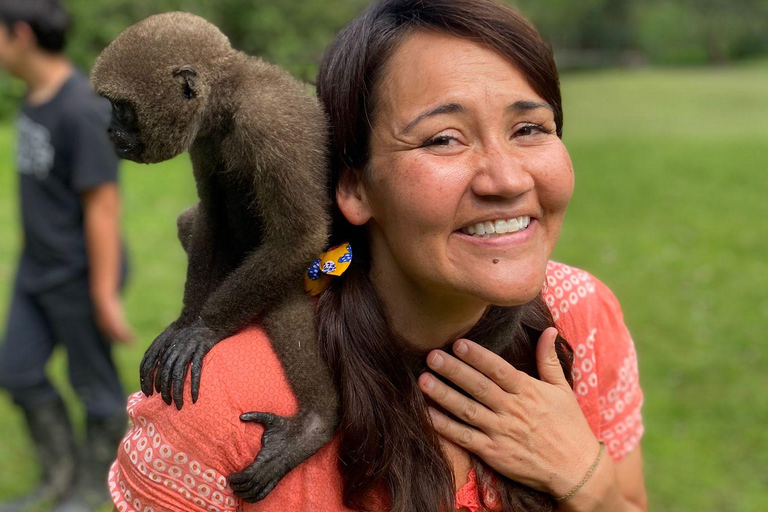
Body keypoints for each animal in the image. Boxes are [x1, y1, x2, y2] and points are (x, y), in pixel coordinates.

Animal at [90, 12, 338, 502]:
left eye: (121, 108)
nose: (108, 131)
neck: (231, 100)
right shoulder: (202, 140)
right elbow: (210, 216)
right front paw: (186, 322)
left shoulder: (269, 125)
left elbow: (299, 235)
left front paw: (202, 329)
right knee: (191, 223)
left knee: (285, 293)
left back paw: (316, 422)